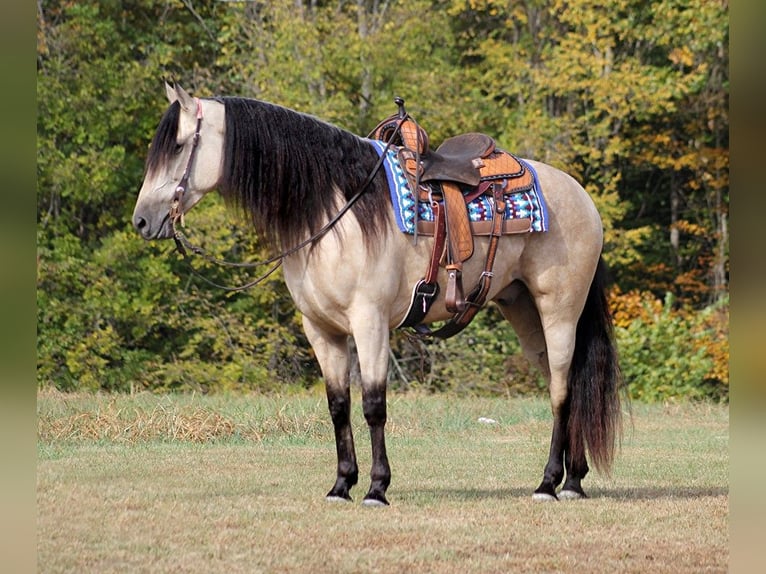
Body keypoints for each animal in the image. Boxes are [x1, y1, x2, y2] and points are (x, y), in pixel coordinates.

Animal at [132, 83, 624, 506]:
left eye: (178, 146)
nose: (141, 221)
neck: (335, 211)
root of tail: (583, 197)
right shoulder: (322, 330)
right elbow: (338, 406)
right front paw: (340, 485)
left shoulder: (369, 322)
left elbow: (373, 405)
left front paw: (376, 487)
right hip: (523, 310)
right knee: (569, 383)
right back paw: (574, 480)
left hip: (558, 311)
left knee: (561, 389)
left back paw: (548, 483)